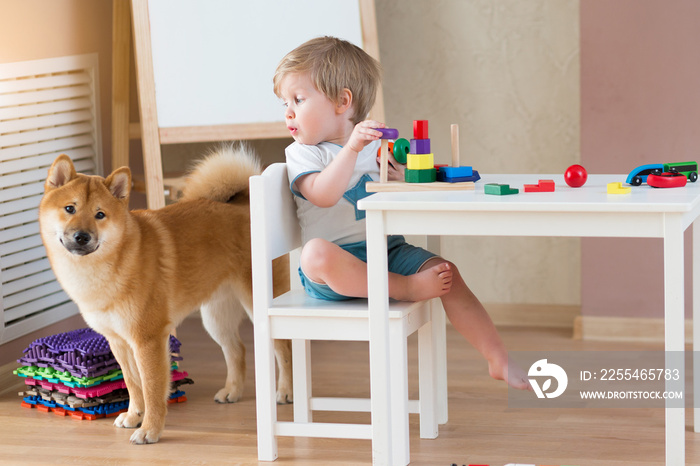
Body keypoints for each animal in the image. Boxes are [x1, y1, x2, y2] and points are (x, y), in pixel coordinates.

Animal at [39, 146, 290, 444]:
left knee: (284, 349)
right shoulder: (119, 342)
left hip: (258, 306)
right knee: (236, 350)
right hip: (215, 317)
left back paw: (286, 391)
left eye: (100, 215)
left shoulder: (148, 340)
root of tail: (245, 203)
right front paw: (133, 416)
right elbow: (133, 385)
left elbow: (151, 389)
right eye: (70, 209)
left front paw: (149, 429)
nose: (81, 236)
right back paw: (233, 391)